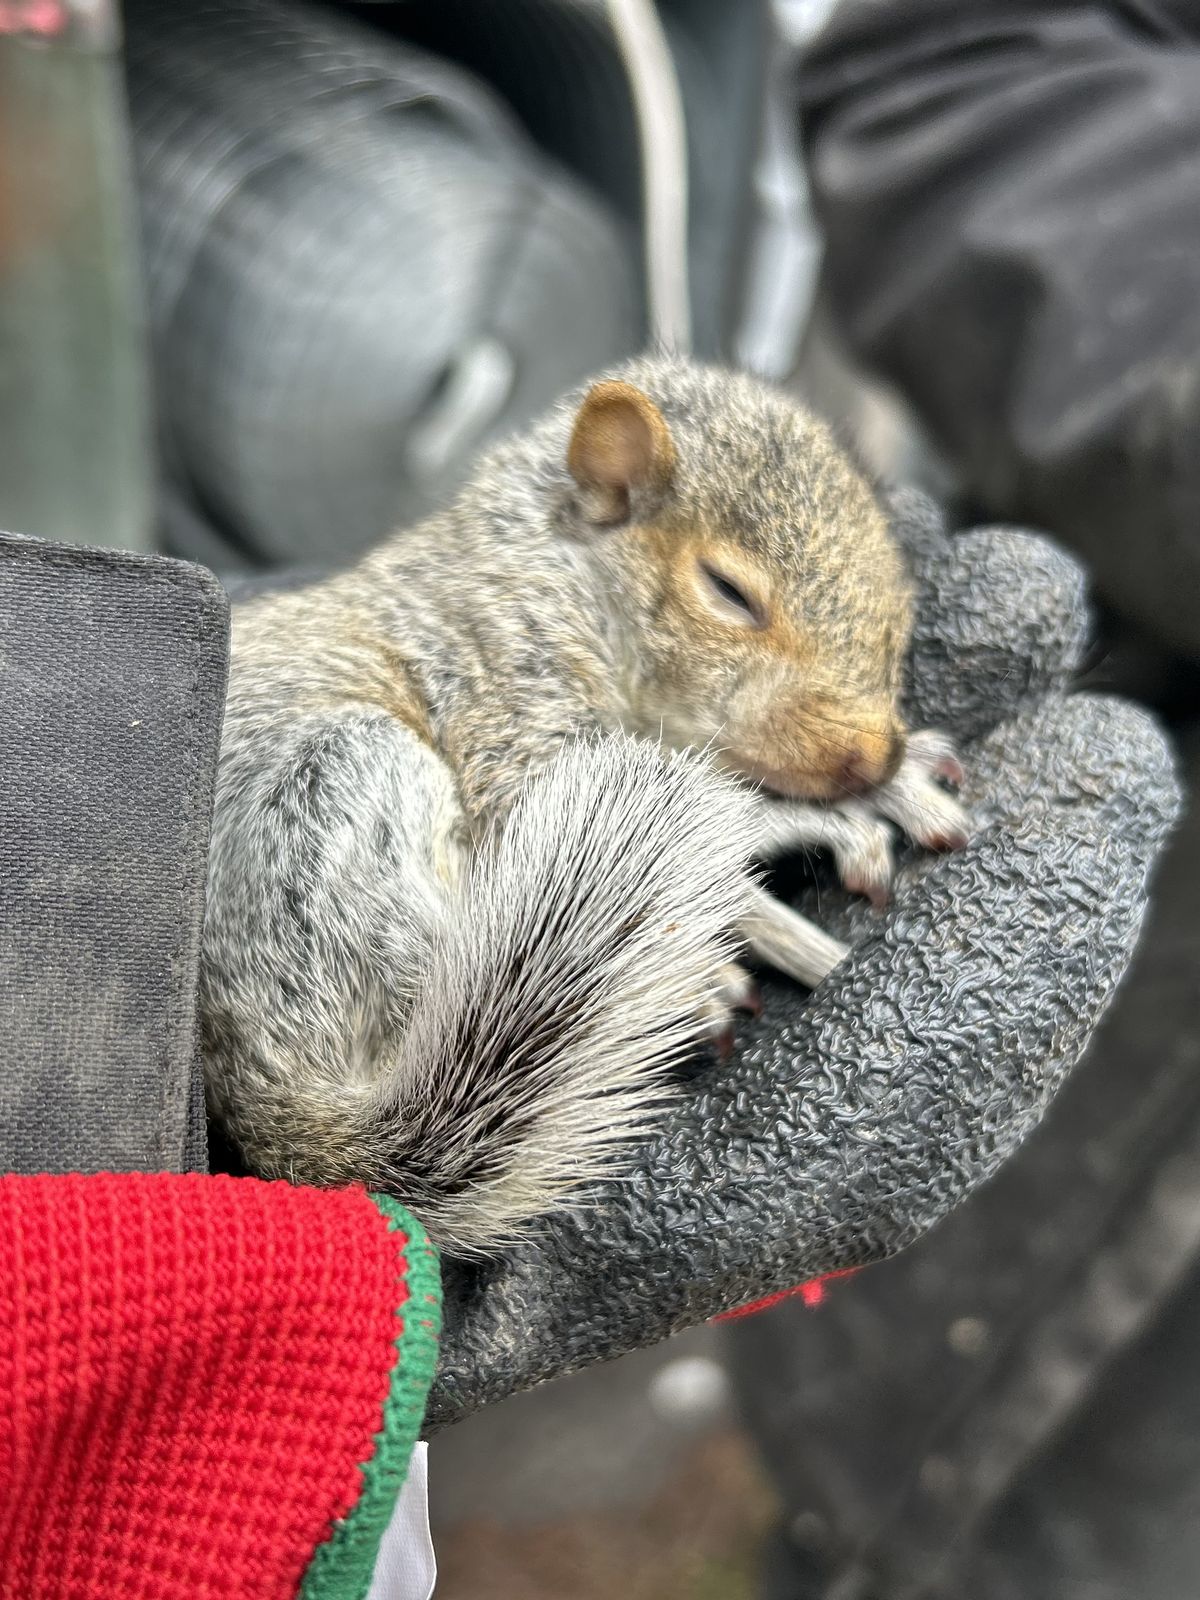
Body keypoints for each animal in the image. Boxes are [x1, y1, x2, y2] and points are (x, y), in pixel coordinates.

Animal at [199, 357, 968, 1257]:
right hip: (336, 792)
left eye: (900, 614)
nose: (873, 752)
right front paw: (829, 817)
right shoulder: (503, 694)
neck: (561, 567)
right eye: (727, 591)